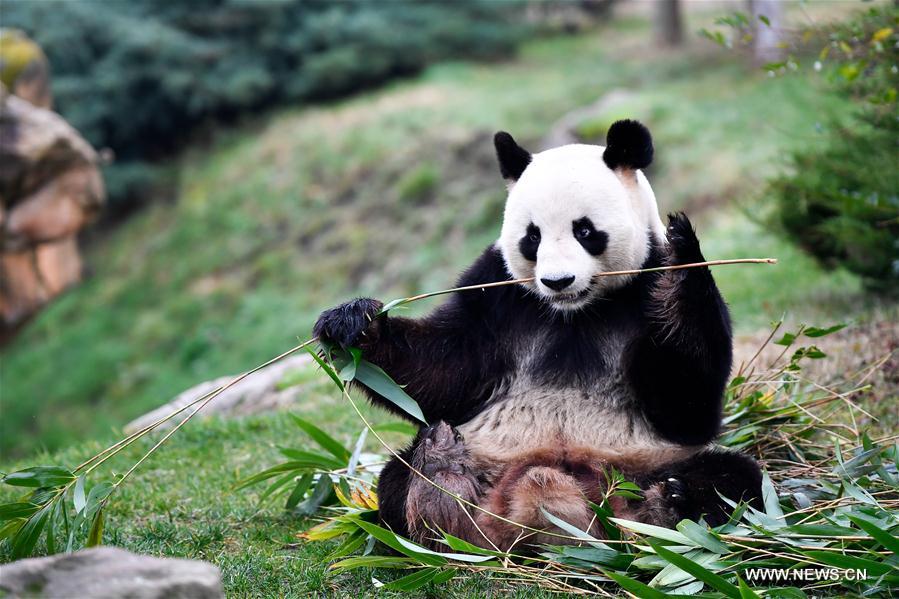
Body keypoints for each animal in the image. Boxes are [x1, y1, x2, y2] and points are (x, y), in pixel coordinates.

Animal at [314, 119, 763, 550]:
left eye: (585, 231)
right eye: (532, 236)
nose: (557, 281)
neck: (574, 313)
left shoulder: (642, 285)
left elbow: (687, 400)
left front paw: (683, 249)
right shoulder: (495, 294)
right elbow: (444, 372)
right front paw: (353, 324)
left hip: (643, 466)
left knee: (732, 479)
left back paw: (666, 508)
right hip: (483, 457)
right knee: (394, 480)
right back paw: (440, 486)